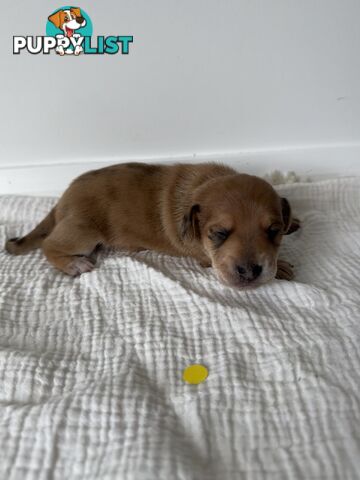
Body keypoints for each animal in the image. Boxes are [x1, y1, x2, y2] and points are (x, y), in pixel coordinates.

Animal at [4, 163, 300, 286]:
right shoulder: (205, 257)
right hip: (83, 232)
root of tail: (62, 200)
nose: (250, 272)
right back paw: (73, 264)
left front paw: (293, 222)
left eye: (273, 231)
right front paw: (283, 266)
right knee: (49, 245)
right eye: (218, 233)